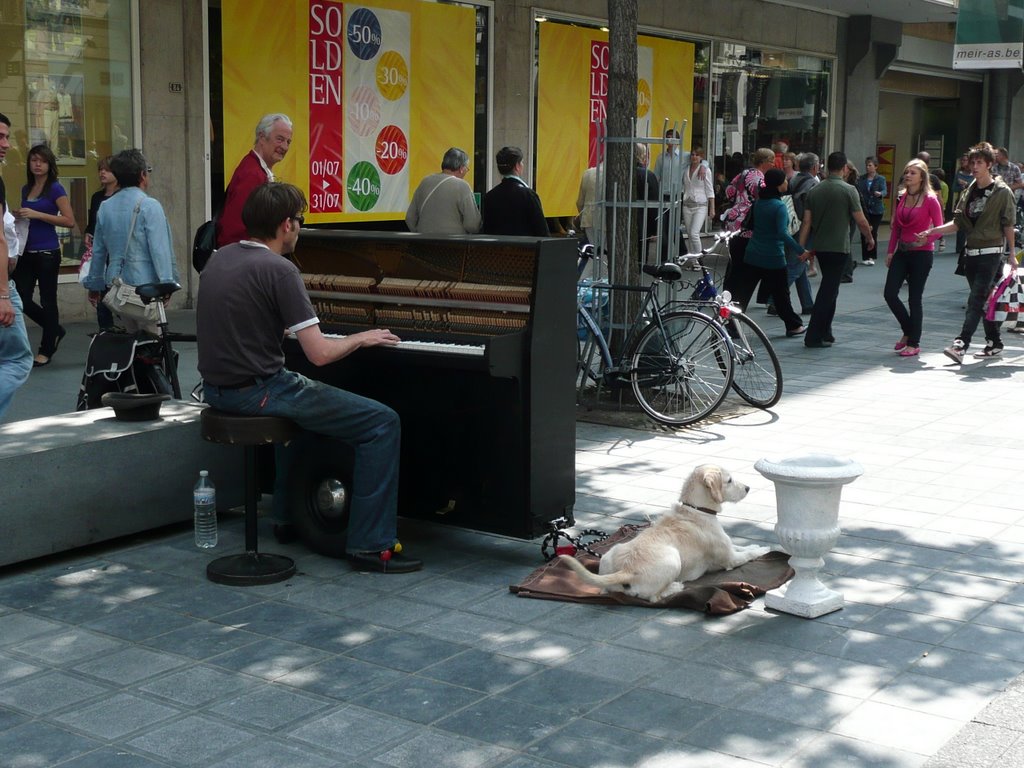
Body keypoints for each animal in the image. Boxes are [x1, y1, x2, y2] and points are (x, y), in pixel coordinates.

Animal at [561, 466, 770, 606]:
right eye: (729, 480)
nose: (748, 488)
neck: (695, 510)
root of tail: (627, 569)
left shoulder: (728, 546)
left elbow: (742, 546)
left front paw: (755, 546)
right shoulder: (730, 559)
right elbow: (747, 554)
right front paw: (765, 549)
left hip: (609, 553)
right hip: (673, 558)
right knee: (654, 598)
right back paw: (676, 587)